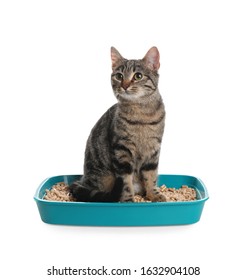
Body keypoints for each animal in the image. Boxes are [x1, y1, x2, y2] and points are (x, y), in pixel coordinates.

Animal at [69, 47, 165, 202]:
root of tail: (82, 180)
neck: (141, 114)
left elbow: (151, 176)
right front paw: (128, 200)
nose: (124, 85)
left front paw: (153, 194)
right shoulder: (122, 150)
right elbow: (125, 182)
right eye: (119, 76)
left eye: (138, 76)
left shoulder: (153, 149)